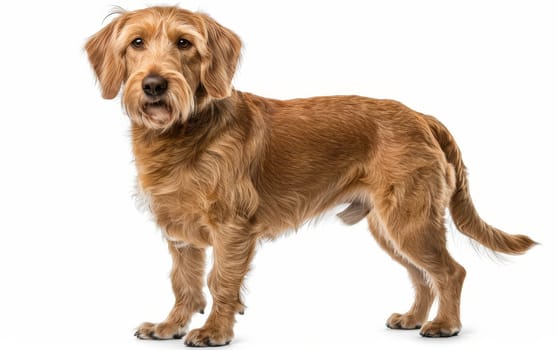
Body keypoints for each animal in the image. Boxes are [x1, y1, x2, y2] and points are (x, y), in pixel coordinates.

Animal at [86, 5, 536, 348]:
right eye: (136, 43)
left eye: (184, 43)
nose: (154, 85)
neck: (184, 133)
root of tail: (420, 117)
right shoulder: (180, 233)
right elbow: (184, 283)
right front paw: (170, 326)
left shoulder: (231, 229)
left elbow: (220, 282)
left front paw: (214, 330)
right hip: (389, 228)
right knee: (422, 276)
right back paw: (413, 317)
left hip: (410, 222)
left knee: (450, 272)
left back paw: (445, 325)